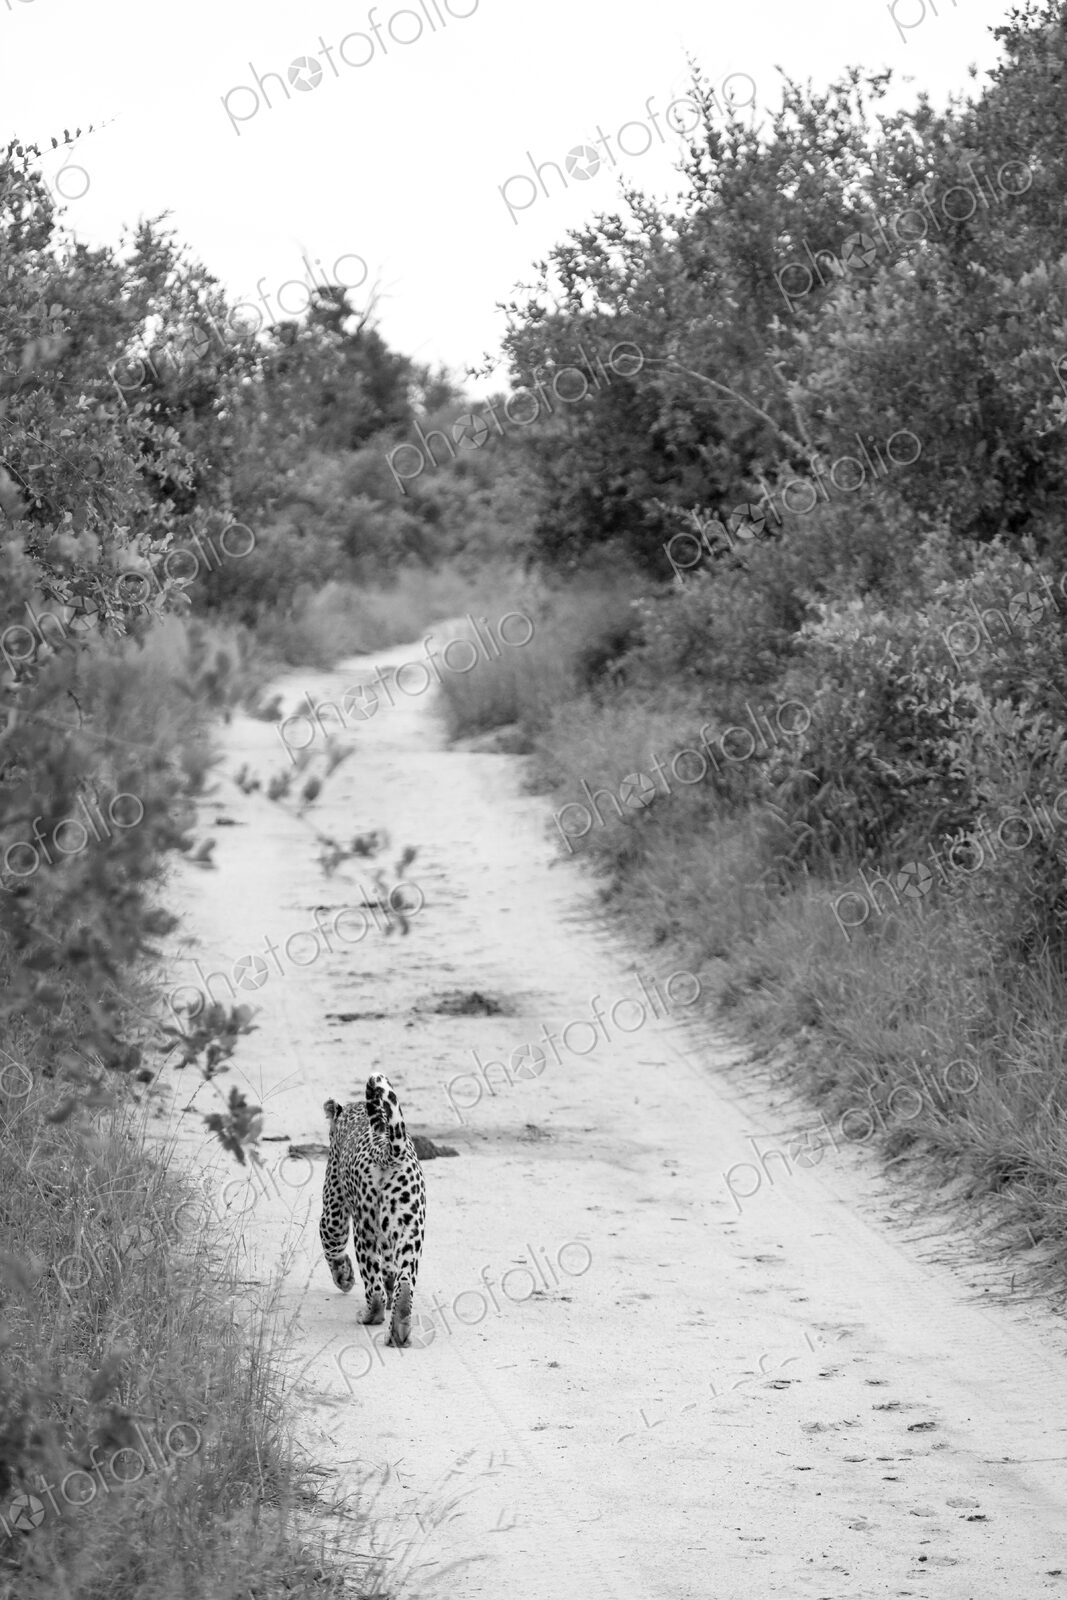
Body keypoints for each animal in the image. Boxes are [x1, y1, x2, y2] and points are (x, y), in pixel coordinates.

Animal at [319, 1074, 426, 1348]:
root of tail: (387, 1151)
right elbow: (389, 1268)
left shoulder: (333, 1209)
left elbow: (332, 1247)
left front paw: (344, 1278)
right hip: (411, 1228)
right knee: (405, 1280)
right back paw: (398, 1329)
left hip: (364, 1227)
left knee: (373, 1288)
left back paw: (370, 1315)